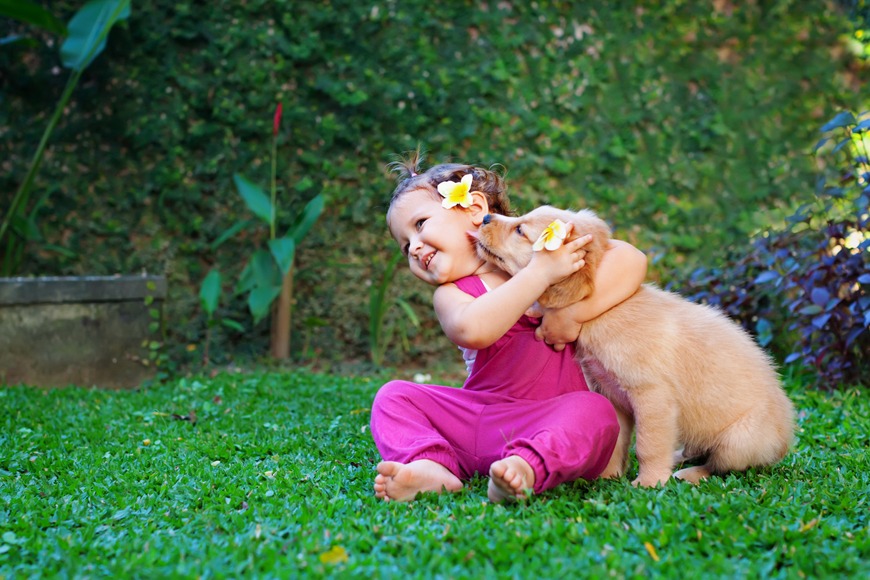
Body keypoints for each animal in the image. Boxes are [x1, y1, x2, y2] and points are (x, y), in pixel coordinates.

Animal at [476, 206, 796, 488]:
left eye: (520, 230)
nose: (486, 217)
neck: (605, 310)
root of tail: (784, 440)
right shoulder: (611, 393)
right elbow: (617, 439)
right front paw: (608, 476)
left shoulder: (652, 395)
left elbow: (648, 444)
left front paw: (650, 481)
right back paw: (679, 457)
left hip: (738, 441)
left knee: (717, 465)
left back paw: (688, 473)